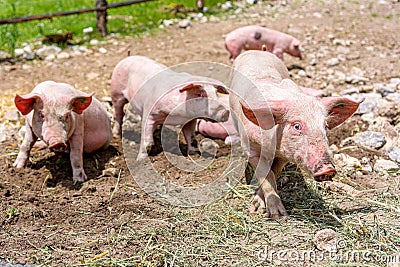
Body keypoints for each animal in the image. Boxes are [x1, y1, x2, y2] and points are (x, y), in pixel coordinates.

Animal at [228, 51, 362, 219]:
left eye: (325, 126)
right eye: (297, 126)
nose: (328, 169)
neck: (272, 148)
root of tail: (256, 51)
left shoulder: (285, 155)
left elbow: (274, 172)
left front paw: (273, 212)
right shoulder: (251, 147)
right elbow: (265, 175)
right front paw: (274, 215)